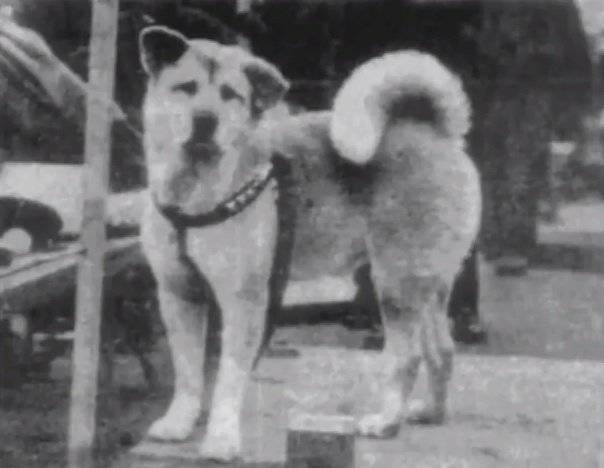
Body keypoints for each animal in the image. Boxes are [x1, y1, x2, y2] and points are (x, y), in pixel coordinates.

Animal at [139, 25, 478, 460]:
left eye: (231, 95)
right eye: (186, 87)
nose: (205, 120)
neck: (197, 193)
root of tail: (437, 133)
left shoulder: (245, 300)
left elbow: (229, 378)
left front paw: (221, 438)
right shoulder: (179, 295)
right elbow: (187, 372)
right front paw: (179, 422)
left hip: (395, 283)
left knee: (408, 356)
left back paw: (385, 422)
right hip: (427, 284)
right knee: (442, 350)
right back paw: (430, 413)